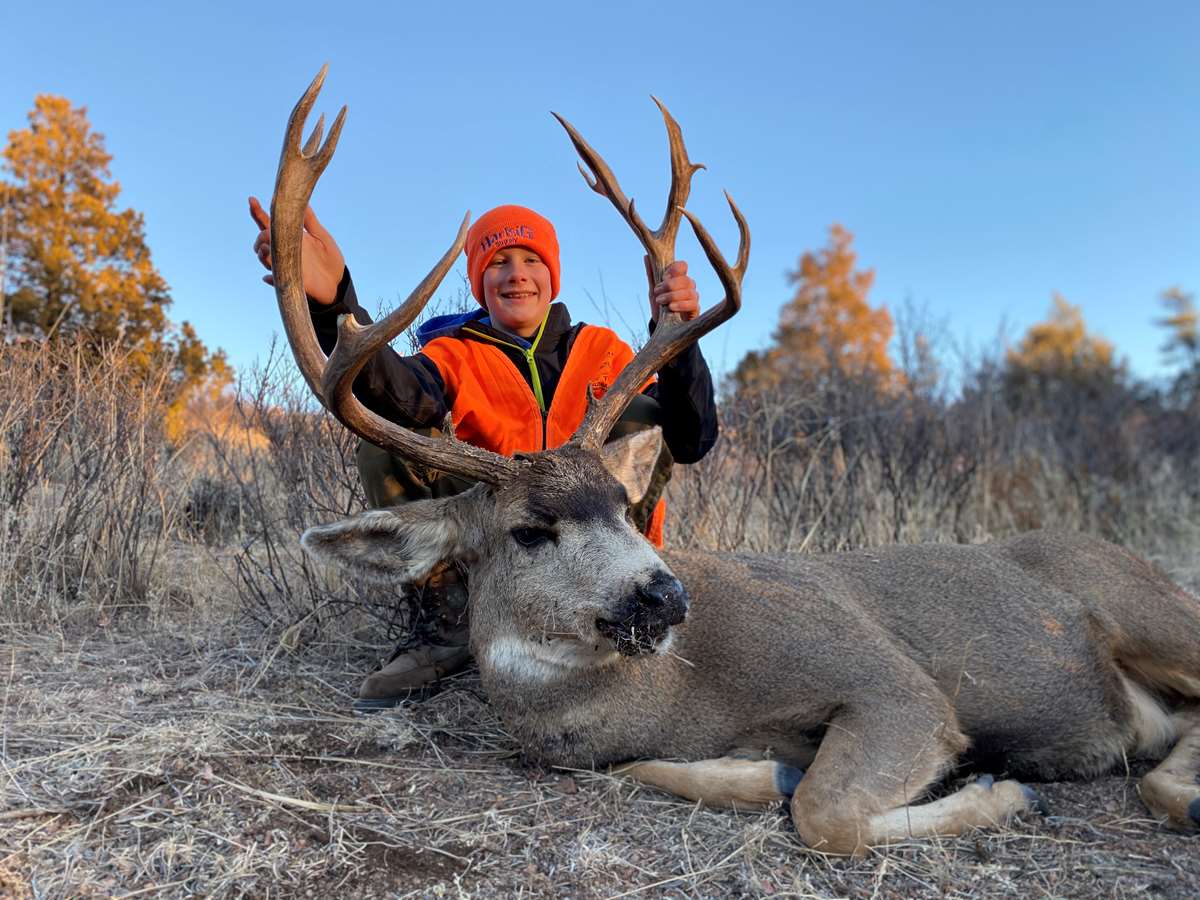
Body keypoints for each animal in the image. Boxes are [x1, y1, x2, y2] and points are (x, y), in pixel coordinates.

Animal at [270, 66, 1200, 854]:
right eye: (529, 530)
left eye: (623, 503)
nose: (663, 593)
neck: (682, 692)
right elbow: (698, 777)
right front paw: (768, 770)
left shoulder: (892, 679)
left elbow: (826, 813)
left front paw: (1004, 791)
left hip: (1151, 608)